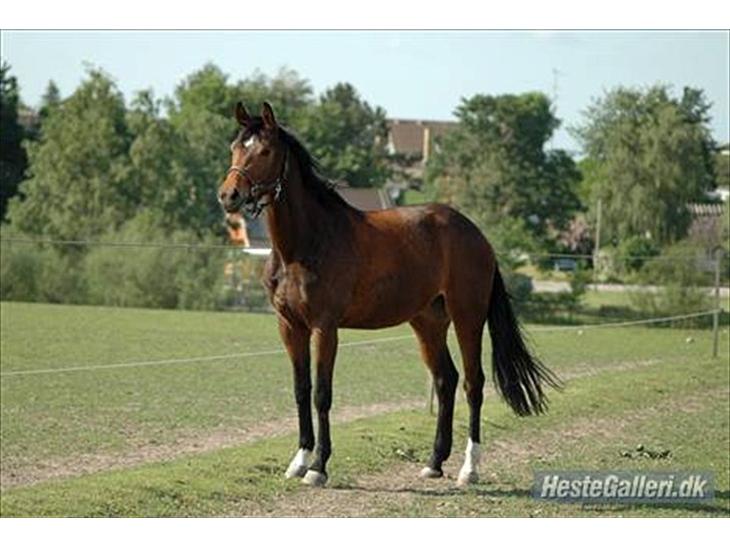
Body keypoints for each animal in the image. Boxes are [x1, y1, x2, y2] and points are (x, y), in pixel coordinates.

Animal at [217, 101, 560, 487]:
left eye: (265, 151)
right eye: (235, 147)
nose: (228, 195)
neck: (305, 244)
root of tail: (475, 234)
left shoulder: (325, 328)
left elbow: (322, 394)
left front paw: (319, 466)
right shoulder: (290, 327)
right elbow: (301, 390)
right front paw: (300, 460)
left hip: (468, 318)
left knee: (474, 383)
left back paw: (469, 468)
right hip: (427, 322)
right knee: (446, 380)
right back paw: (434, 462)